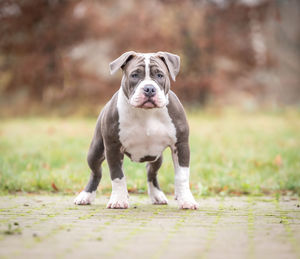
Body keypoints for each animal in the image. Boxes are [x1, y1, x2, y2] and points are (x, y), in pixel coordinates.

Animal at [73, 51, 199, 210]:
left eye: (160, 75)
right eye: (134, 75)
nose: (149, 88)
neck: (146, 113)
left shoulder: (181, 145)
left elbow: (181, 176)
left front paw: (186, 200)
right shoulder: (113, 147)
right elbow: (117, 176)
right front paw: (118, 200)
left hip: (156, 157)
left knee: (151, 173)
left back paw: (157, 196)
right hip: (95, 151)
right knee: (96, 172)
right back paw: (86, 196)